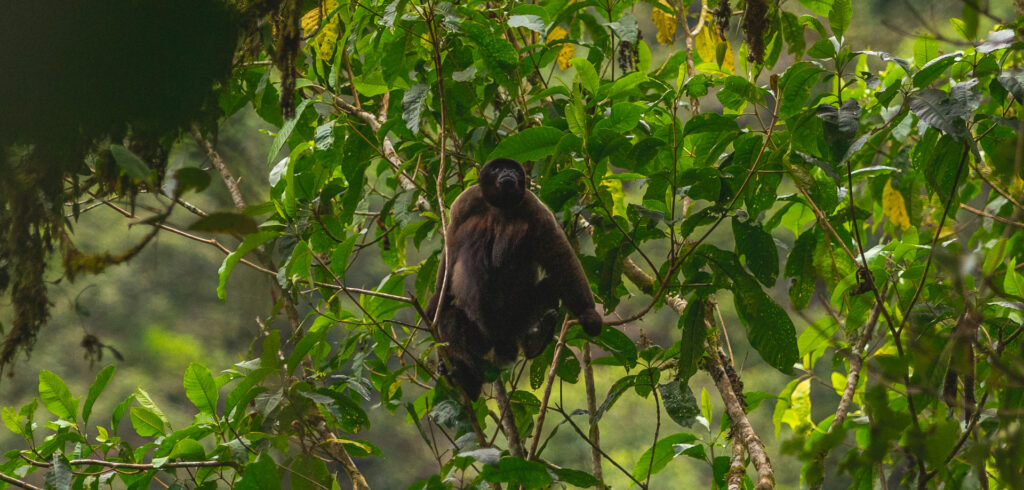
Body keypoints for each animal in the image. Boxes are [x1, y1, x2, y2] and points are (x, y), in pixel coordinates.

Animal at [425, 158, 603, 399]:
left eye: (513, 169)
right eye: (498, 168)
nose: (509, 172)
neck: (500, 206)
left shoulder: (535, 207)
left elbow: (561, 258)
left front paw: (588, 313)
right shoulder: (464, 204)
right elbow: (449, 257)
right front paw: (435, 305)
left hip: (518, 319)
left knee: (551, 284)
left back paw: (535, 340)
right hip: (478, 338)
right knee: (448, 312)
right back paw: (466, 379)